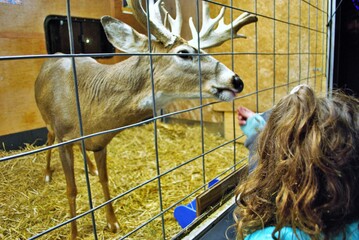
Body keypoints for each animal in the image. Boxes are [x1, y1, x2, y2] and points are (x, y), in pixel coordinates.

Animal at [33, 0, 258, 238]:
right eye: (184, 53)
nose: (237, 80)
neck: (88, 105)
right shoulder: (64, 138)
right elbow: (72, 189)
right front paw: (74, 234)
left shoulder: (101, 142)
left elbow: (104, 180)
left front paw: (113, 223)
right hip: (48, 122)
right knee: (48, 139)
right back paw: (47, 174)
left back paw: (89, 169)